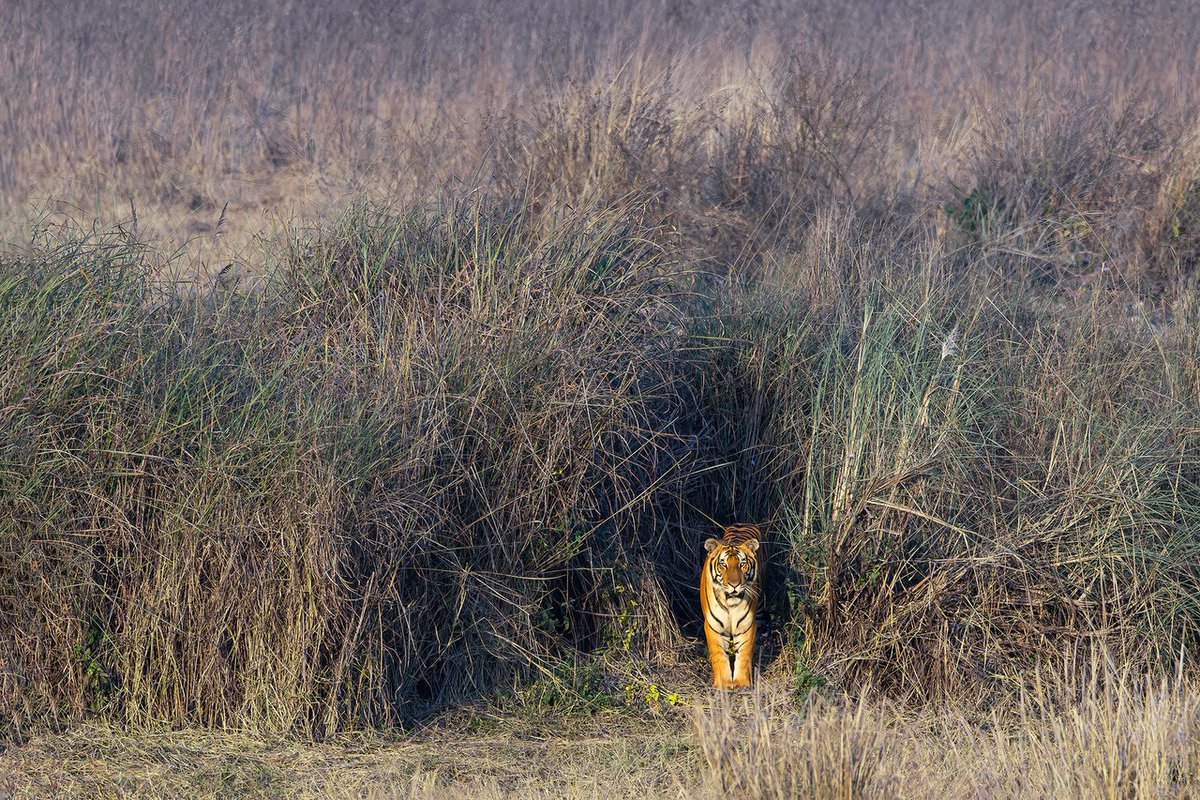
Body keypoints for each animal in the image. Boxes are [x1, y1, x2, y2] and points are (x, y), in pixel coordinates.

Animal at [701, 523, 763, 689]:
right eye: (723, 564)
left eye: (742, 564)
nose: (734, 585)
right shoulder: (713, 625)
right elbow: (718, 655)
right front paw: (723, 684)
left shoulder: (747, 625)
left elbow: (745, 654)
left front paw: (741, 683)